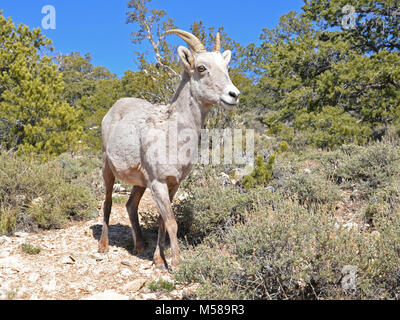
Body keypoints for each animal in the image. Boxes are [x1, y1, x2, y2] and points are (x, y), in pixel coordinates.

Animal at [99, 29, 241, 268]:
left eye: (226, 66)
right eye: (201, 68)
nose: (234, 95)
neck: (172, 135)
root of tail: (112, 109)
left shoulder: (173, 184)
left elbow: (162, 221)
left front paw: (158, 259)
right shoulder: (158, 183)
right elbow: (172, 222)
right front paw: (176, 263)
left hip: (140, 183)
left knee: (130, 205)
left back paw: (139, 247)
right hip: (108, 169)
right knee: (108, 203)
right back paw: (103, 246)